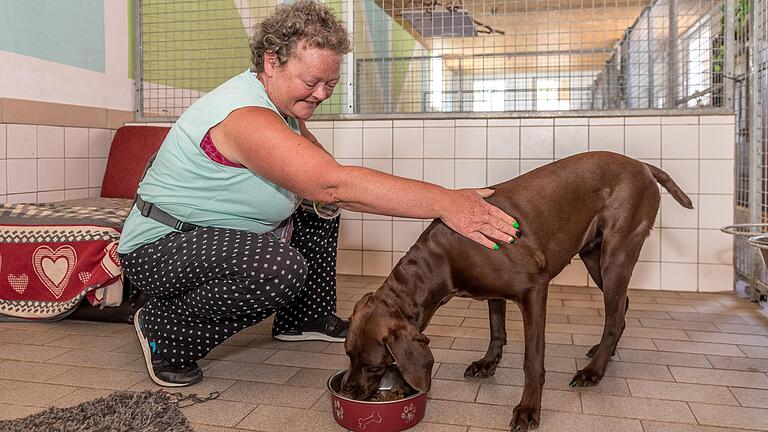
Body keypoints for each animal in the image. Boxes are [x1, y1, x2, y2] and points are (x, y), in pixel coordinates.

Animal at [340, 150, 692, 430]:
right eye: (348, 356)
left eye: (372, 365)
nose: (346, 391)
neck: (442, 259)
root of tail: (641, 165)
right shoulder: (493, 294)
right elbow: (497, 331)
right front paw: (487, 364)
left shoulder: (534, 290)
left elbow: (532, 360)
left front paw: (528, 409)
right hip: (594, 254)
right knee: (621, 309)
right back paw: (603, 353)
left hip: (616, 255)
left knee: (614, 314)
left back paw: (594, 371)